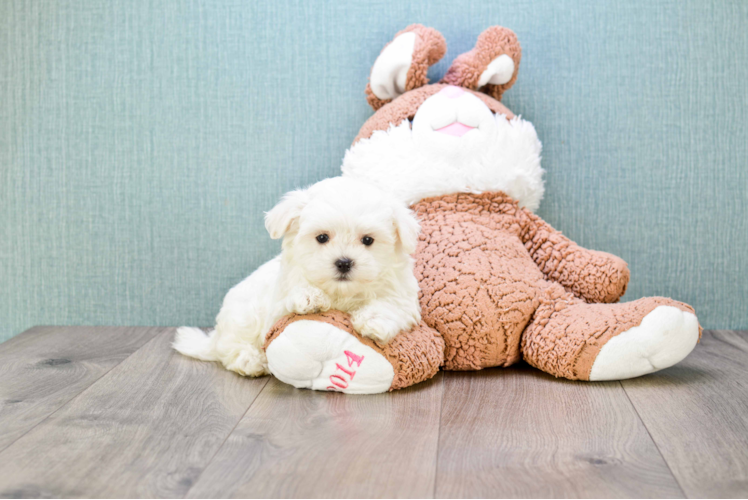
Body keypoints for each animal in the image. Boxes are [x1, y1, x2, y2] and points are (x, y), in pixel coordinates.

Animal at [172, 176, 424, 376]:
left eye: (368, 240)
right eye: (322, 238)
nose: (344, 262)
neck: (341, 293)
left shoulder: (403, 297)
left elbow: (391, 306)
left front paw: (373, 320)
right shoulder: (276, 307)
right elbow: (291, 298)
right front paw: (309, 297)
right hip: (243, 317)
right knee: (230, 348)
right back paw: (250, 360)